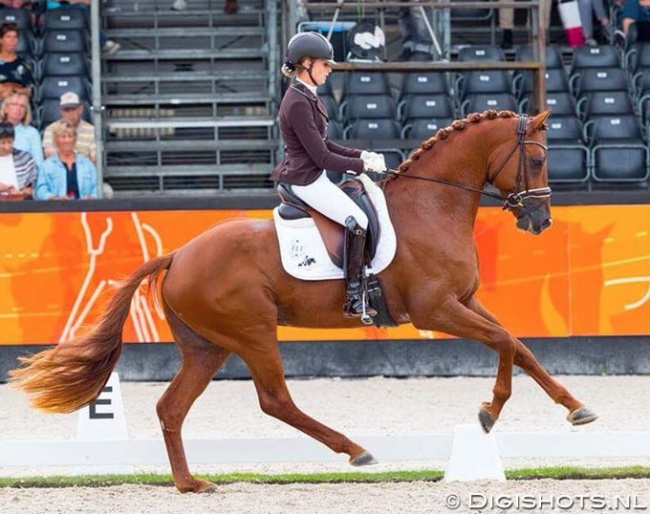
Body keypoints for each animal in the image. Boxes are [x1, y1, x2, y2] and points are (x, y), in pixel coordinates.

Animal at [11, 109, 596, 492]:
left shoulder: (464, 300)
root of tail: (177, 256)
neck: (433, 205)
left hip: (207, 346)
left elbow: (519, 345)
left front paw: (577, 409)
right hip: (251, 331)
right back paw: (355, 450)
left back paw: (191, 483)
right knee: (275, 400)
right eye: (538, 159)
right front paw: (487, 414)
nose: (540, 221)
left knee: (172, 406)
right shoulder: (436, 310)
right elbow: (503, 343)